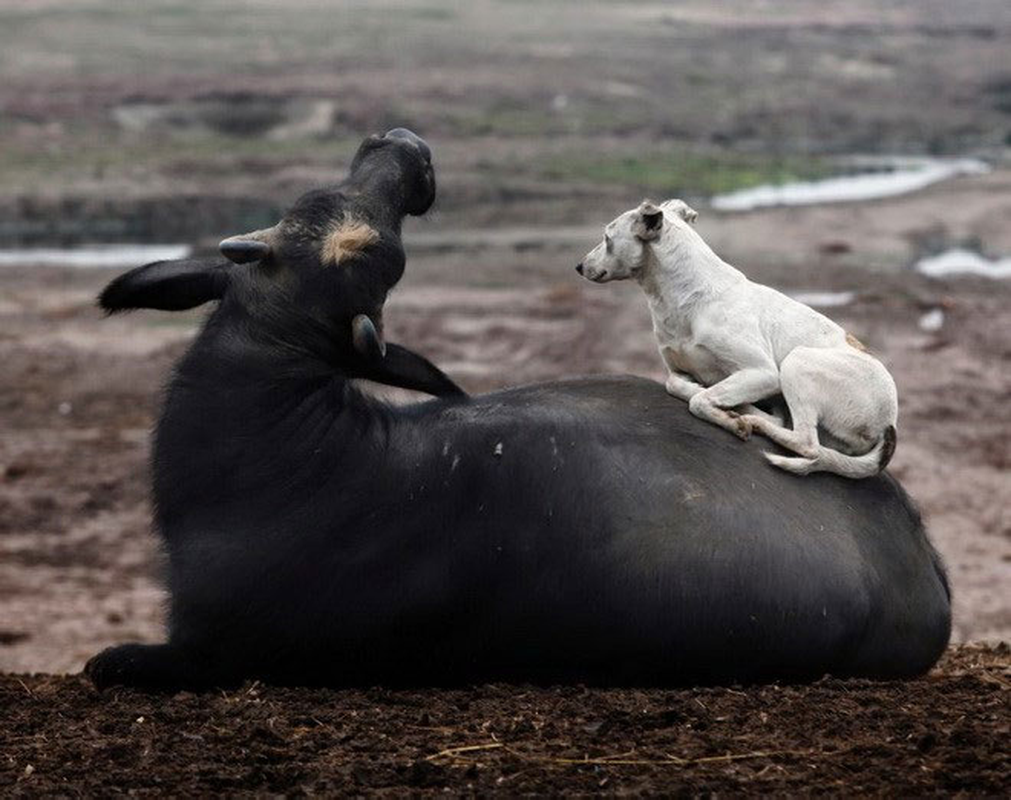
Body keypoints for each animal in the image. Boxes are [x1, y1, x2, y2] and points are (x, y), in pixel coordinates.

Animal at [578, 200, 901, 479]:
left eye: (607, 237)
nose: (579, 266)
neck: (689, 297)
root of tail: (889, 422)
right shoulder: (677, 369)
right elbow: (678, 385)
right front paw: (712, 396)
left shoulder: (763, 373)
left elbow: (698, 401)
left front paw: (730, 418)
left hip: (796, 363)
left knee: (807, 442)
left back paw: (754, 420)